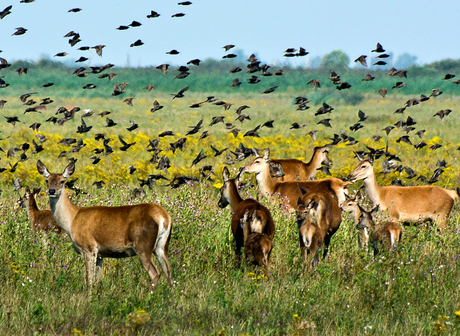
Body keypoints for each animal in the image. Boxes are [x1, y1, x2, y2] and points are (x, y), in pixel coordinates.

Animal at [36, 160, 173, 294]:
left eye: (62, 181)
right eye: (47, 180)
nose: (52, 191)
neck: (72, 220)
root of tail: (164, 217)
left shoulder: (88, 247)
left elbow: (89, 279)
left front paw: (88, 297)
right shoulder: (100, 253)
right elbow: (96, 280)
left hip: (142, 245)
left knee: (155, 273)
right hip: (161, 245)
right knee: (168, 271)